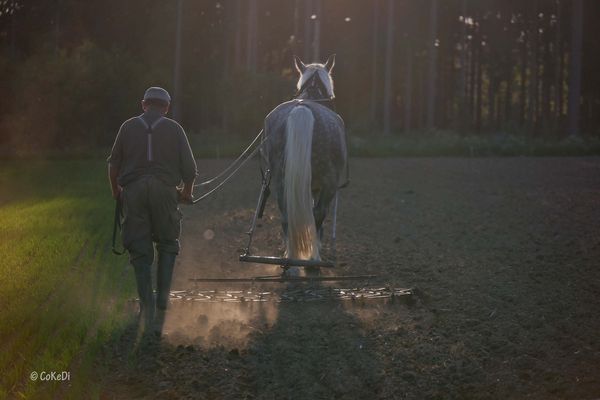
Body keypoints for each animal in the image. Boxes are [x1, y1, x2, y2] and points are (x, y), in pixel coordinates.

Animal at [262, 54, 346, 276]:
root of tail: (303, 109)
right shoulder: (320, 186)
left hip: (280, 181)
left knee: (286, 215)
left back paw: (289, 261)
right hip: (328, 184)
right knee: (318, 215)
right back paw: (313, 261)